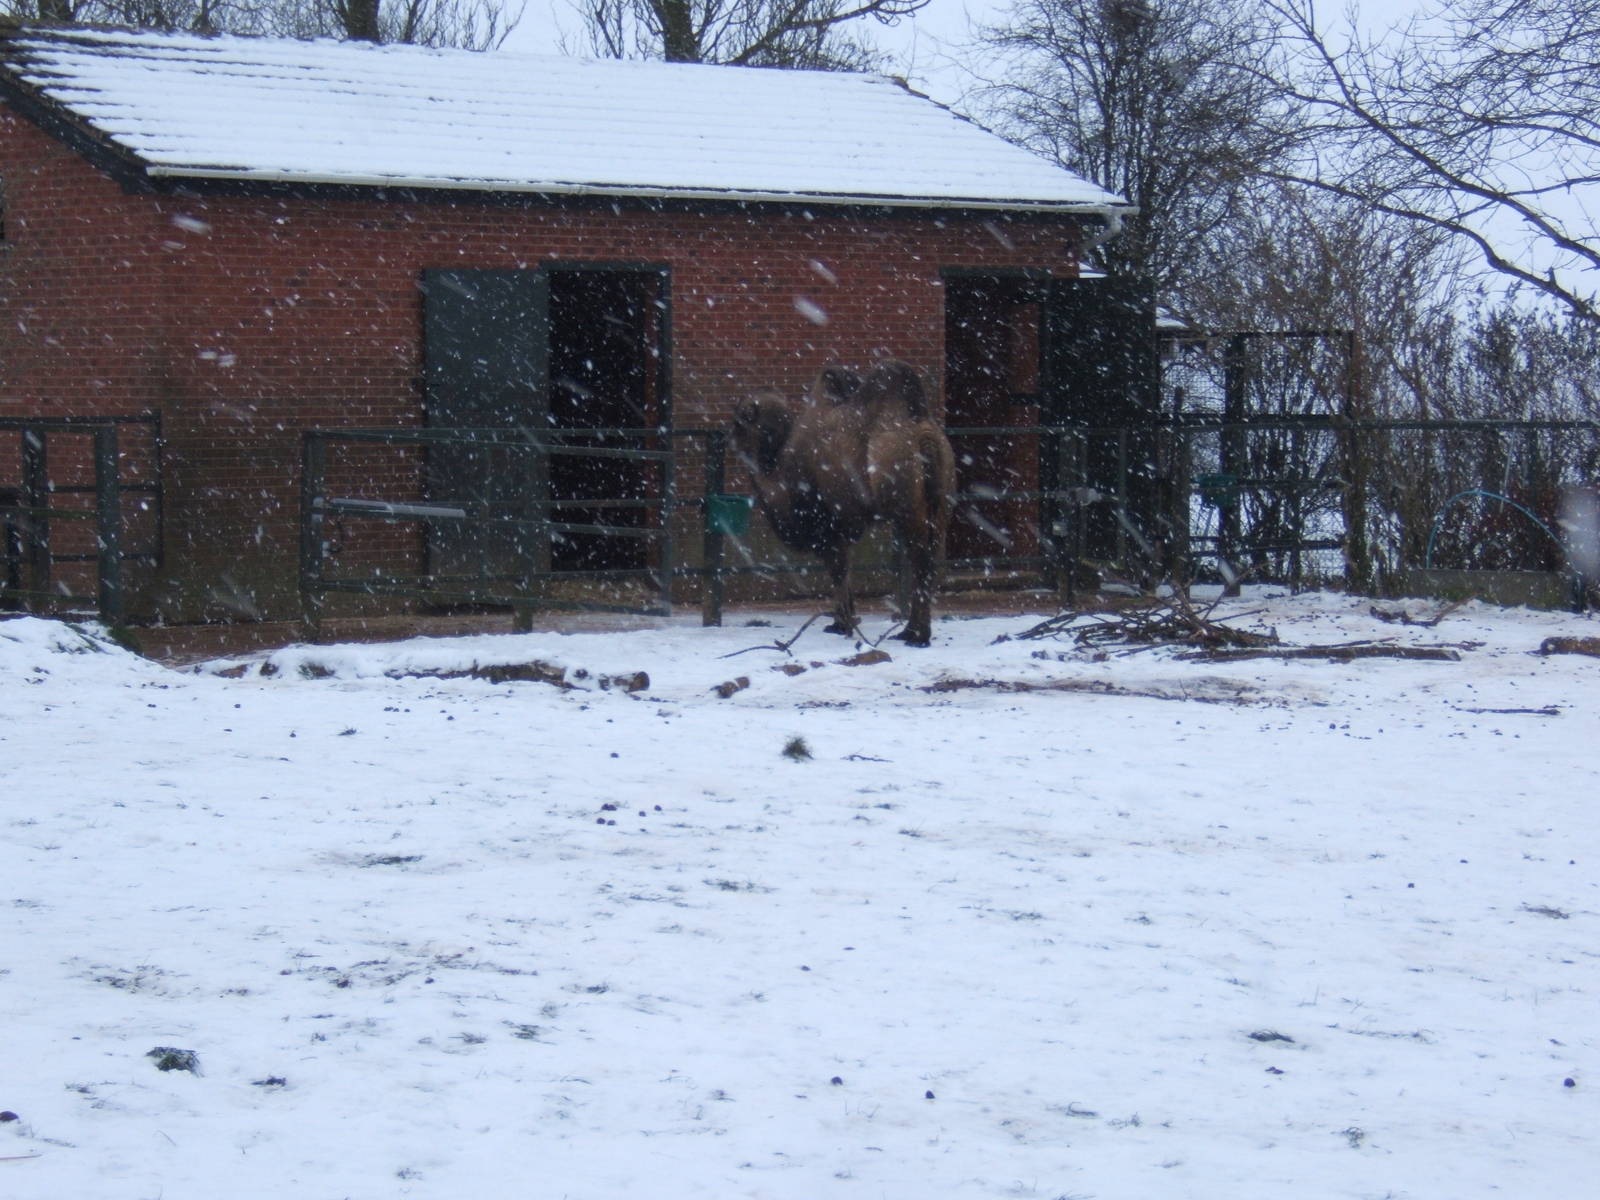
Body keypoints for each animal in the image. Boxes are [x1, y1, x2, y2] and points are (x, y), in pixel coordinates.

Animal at [730, 360, 956, 646]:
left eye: (740, 420)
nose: (728, 438)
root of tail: (925, 435)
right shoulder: (844, 526)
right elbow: (846, 570)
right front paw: (846, 622)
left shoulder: (828, 523)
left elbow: (837, 570)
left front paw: (843, 625)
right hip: (941, 504)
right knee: (930, 561)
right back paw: (911, 632)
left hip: (905, 507)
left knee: (920, 560)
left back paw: (916, 635)